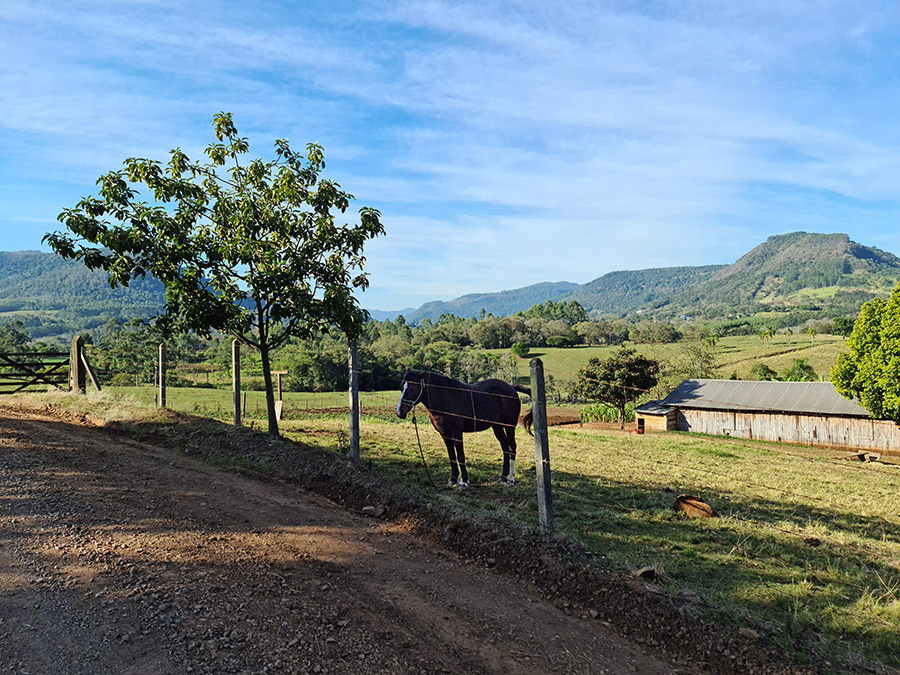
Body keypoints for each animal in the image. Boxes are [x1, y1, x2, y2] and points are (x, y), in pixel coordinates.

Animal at [395, 369, 533, 488]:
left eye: (412, 387)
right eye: (401, 387)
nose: (399, 412)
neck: (446, 399)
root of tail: (511, 388)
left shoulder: (457, 433)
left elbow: (460, 455)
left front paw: (463, 481)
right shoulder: (444, 434)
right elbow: (451, 455)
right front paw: (453, 479)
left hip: (509, 426)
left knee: (512, 447)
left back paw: (511, 479)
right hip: (497, 426)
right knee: (505, 448)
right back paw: (503, 477)